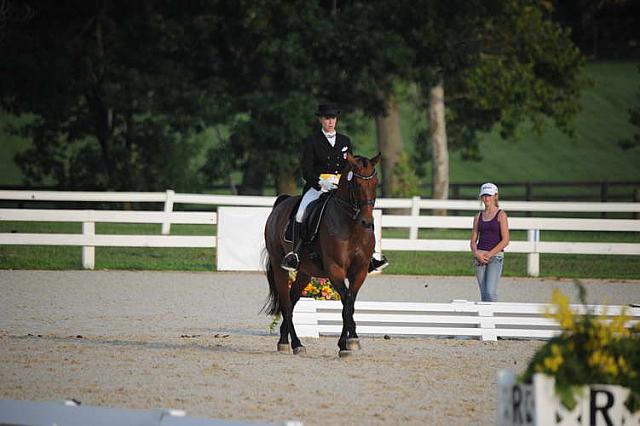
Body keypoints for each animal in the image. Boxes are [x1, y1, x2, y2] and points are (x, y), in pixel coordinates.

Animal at [264, 152, 380, 356]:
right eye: (357, 185)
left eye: (375, 183)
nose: (367, 222)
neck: (351, 226)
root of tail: (281, 203)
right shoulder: (335, 269)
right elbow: (346, 301)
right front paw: (346, 343)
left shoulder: (360, 270)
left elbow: (350, 302)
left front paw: (350, 340)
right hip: (280, 267)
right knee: (286, 303)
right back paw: (295, 343)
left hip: (305, 272)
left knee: (292, 299)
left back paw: (285, 341)